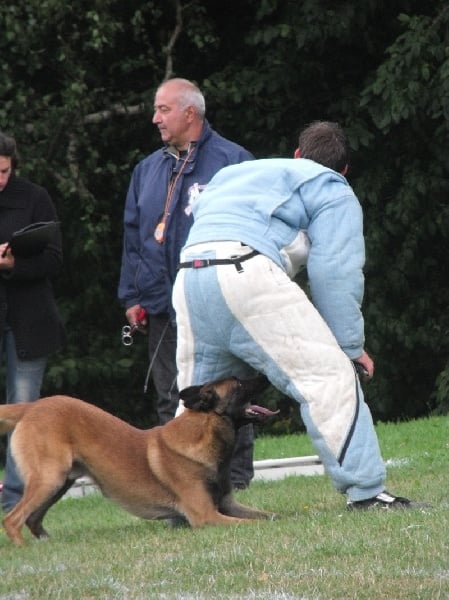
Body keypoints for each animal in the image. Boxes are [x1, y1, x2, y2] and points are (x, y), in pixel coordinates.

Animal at [0, 374, 278, 544]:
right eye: (239, 384)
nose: (265, 375)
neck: (205, 433)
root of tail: (31, 406)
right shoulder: (207, 516)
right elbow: (253, 523)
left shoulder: (227, 504)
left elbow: (271, 516)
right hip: (50, 479)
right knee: (12, 519)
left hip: (60, 482)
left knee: (32, 519)